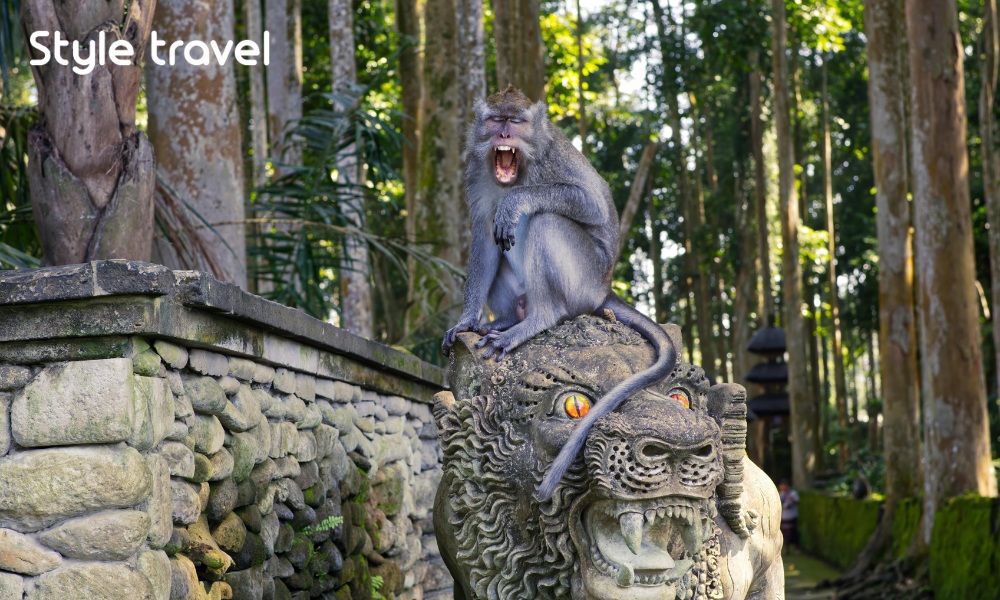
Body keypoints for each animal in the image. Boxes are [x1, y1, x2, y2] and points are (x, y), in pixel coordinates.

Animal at [441, 86, 679, 502]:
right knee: (502, 237)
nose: (504, 134)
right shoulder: (476, 172)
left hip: (581, 276)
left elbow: (589, 204)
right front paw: (467, 321)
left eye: (516, 121)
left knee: (545, 220)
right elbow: (484, 234)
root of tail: (604, 290)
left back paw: (537, 320)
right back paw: (505, 320)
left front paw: (515, 201)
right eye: (496, 120)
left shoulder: (553, 158)